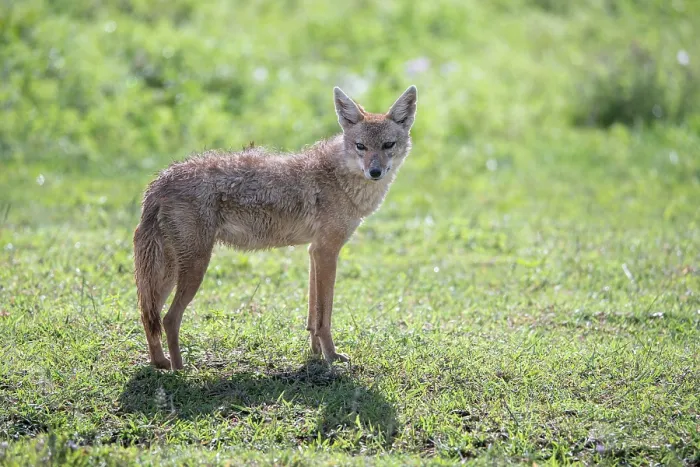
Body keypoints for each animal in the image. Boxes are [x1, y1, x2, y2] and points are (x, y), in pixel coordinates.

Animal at [133, 85, 417, 370]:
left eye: (388, 145)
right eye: (361, 146)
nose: (375, 172)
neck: (339, 179)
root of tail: (159, 181)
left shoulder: (314, 251)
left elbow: (312, 314)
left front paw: (315, 353)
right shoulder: (326, 251)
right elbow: (324, 316)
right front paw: (331, 356)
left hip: (169, 273)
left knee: (149, 316)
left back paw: (160, 363)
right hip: (194, 268)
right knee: (168, 318)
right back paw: (180, 370)